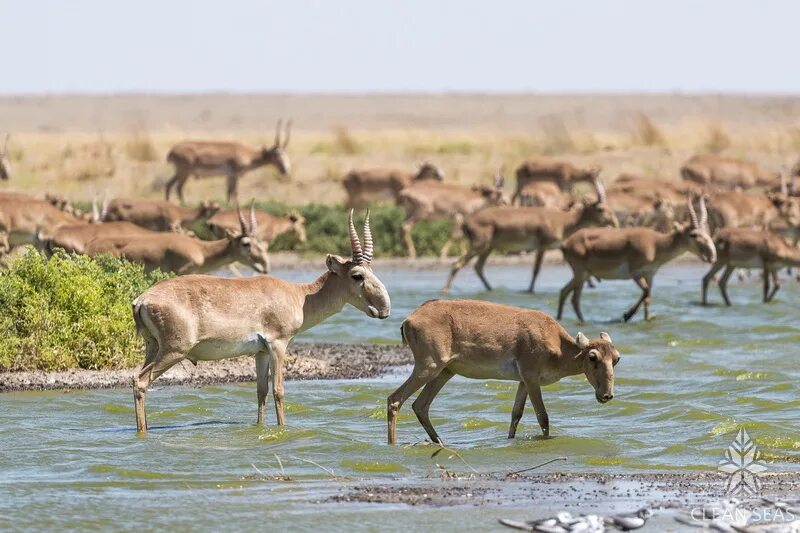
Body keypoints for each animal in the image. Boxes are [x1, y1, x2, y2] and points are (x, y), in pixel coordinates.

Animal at [131, 210, 390, 430]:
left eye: (373, 272)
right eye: (357, 275)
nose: (384, 309)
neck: (299, 295)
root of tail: (142, 299)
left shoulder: (261, 352)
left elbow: (261, 390)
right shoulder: (278, 345)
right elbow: (279, 389)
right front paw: (282, 428)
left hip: (153, 348)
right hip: (174, 351)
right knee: (140, 381)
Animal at [166, 119, 294, 203]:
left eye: (286, 154)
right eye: (277, 154)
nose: (285, 170)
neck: (246, 153)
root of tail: (173, 150)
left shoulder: (229, 176)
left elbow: (229, 192)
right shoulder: (235, 175)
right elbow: (234, 192)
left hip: (180, 172)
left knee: (169, 184)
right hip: (184, 172)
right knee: (178, 187)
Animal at [388, 300, 620, 444]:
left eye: (616, 359)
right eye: (592, 357)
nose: (606, 395)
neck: (558, 346)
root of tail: (409, 319)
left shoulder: (523, 381)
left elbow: (515, 415)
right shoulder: (531, 377)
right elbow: (542, 417)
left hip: (445, 371)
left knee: (420, 406)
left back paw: (439, 442)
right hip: (429, 366)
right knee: (395, 399)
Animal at [444, 180, 620, 296]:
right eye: (600, 208)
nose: (614, 222)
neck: (564, 221)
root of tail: (466, 222)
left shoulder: (558, 246)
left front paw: (592, 283)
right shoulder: (542, 246)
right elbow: (536, 270)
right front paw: (529, 290)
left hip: (489, 247)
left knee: (478, 267)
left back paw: (491, 289)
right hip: (479, 245)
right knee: (457, 264)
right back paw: (446, 289)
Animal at [556, 194, 720, 322]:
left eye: (706, 232)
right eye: (693, 234)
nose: (711, 255)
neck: (656, 244)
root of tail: (566, 244)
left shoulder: (650, 274)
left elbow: (648, 297)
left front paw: (647, 319)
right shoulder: (635, 273)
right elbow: (646, 291)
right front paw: (627, 315)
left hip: (582, 275)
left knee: (564, 292)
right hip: (581, 274)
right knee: (574, 298)